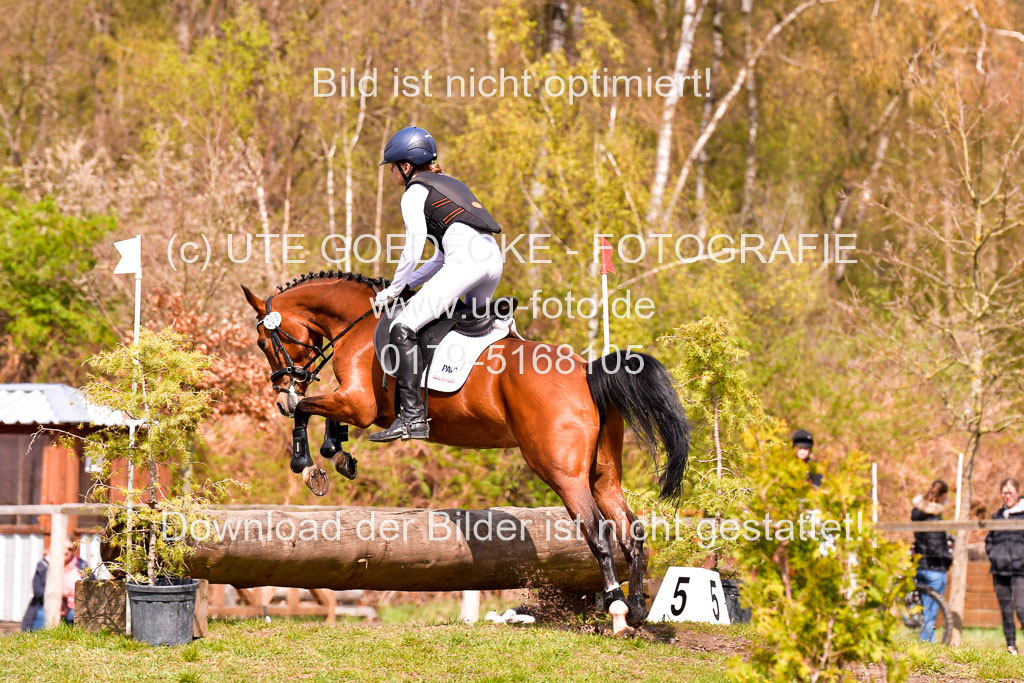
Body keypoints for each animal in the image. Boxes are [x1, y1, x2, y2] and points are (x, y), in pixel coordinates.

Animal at [239, 270, 688, 626]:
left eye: (263, 342)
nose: (280, 393)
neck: (360, 325)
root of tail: (588, 371)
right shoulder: (361, 405)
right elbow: (325, 417)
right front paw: (339, 454)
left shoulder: (359, 404)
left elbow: (306, 410)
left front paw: (306, 464)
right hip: (603, 474)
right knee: (631, 531)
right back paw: (637, 610)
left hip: (563, 473)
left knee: (597, 532)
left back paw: (616, 611)